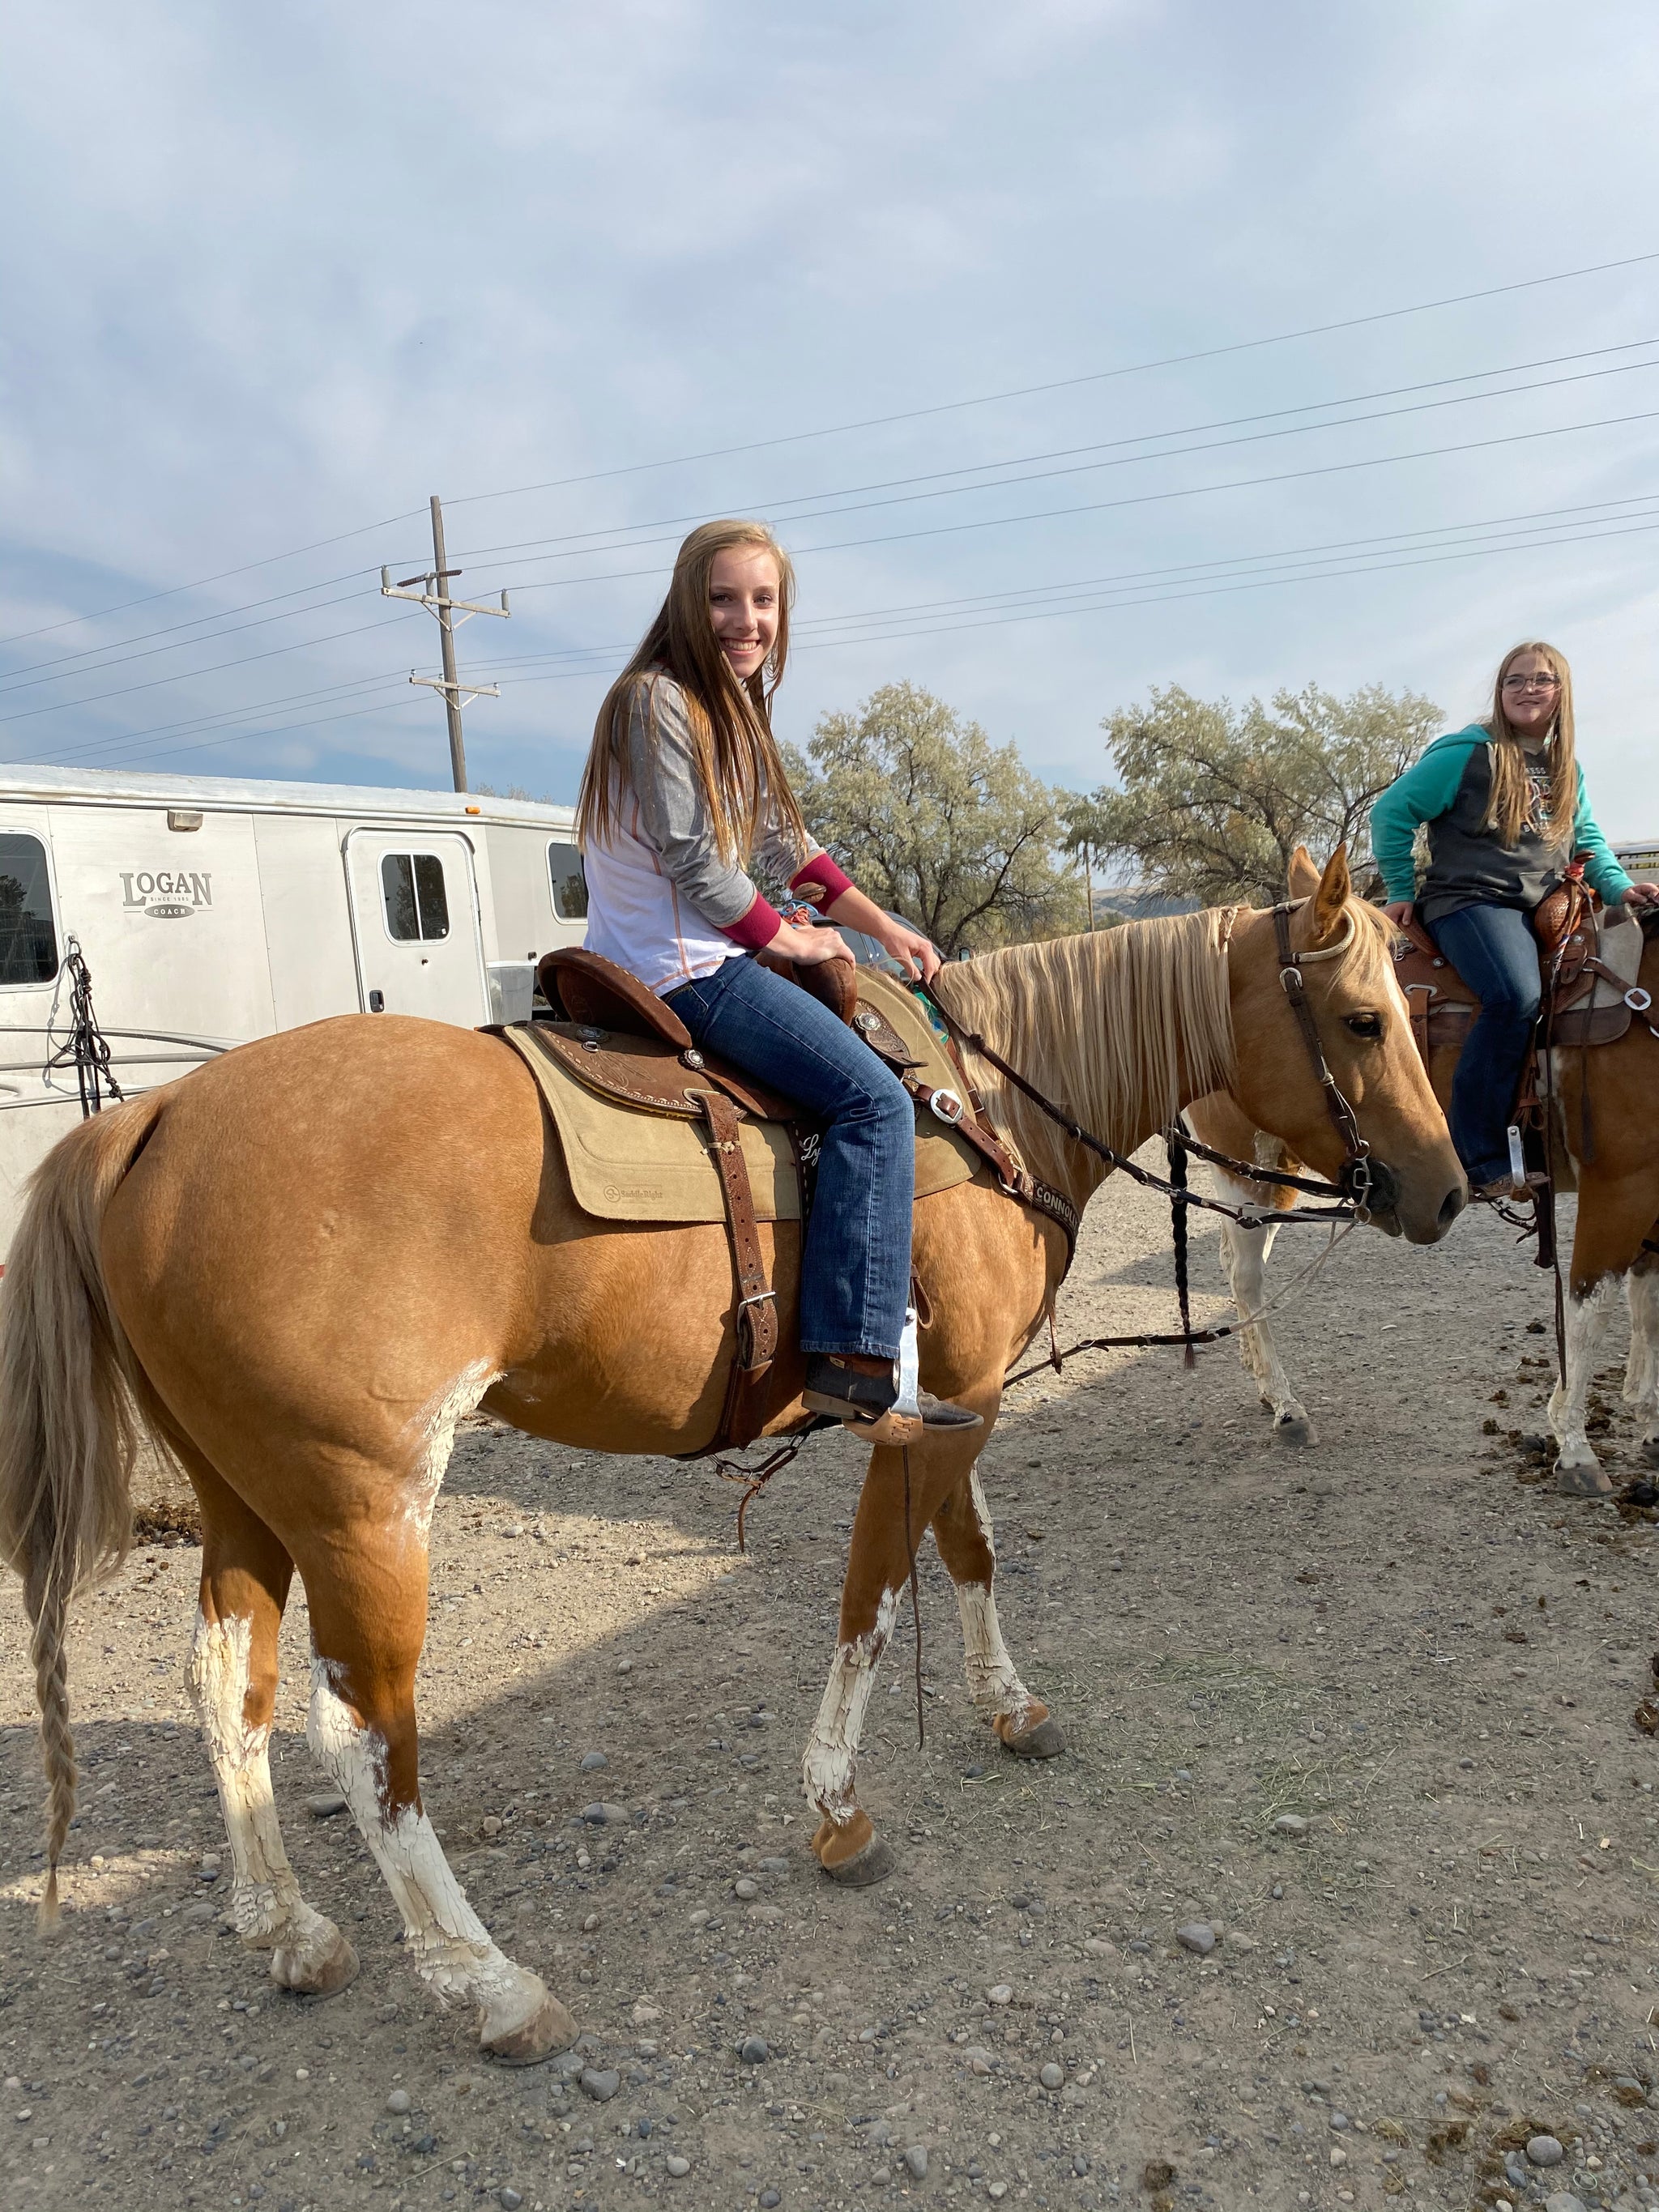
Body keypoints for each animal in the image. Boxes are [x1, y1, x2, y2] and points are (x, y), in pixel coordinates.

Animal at [0, 845, 1460, 2052]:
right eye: (1363, 1019)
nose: (1447, 1191)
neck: (980, 1103)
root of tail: (148, 1121)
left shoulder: (957, 1398)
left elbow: (969, 1552)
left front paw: (1008, 1708)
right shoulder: (925, 1411)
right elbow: (874, 1594)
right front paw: (836, 1808)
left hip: (245, 1499)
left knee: (224, 1687)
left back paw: (288, 1931)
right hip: (364, 1511)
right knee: (358, 1732)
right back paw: (486, 1983)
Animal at [1185, 845, 1659, 1486]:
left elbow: (1646, 1303)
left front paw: (1647, 1421)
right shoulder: (1620, 1186)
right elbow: (1592, 1309)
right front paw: (1575, 1446)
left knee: (1239, 1261)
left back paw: (1261, 1377)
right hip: (1250, 1165)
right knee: (1246, 1275)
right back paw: (1286, 1405)